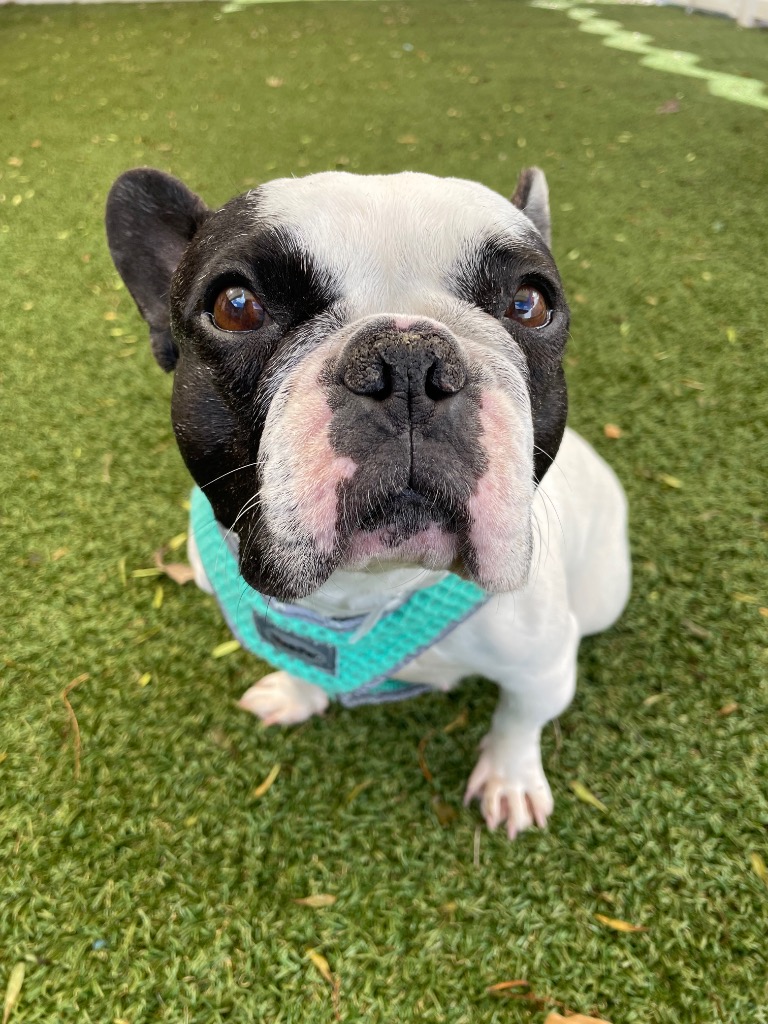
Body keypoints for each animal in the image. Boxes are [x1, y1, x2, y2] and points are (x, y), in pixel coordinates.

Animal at [105, 167, 630, 839]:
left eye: (530, 304)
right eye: (235, 306)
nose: (407, 359)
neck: (367, 592)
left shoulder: (542, 667)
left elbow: (519, 718)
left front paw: (511, 779)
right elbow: (303, 663)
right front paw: (293, 694)